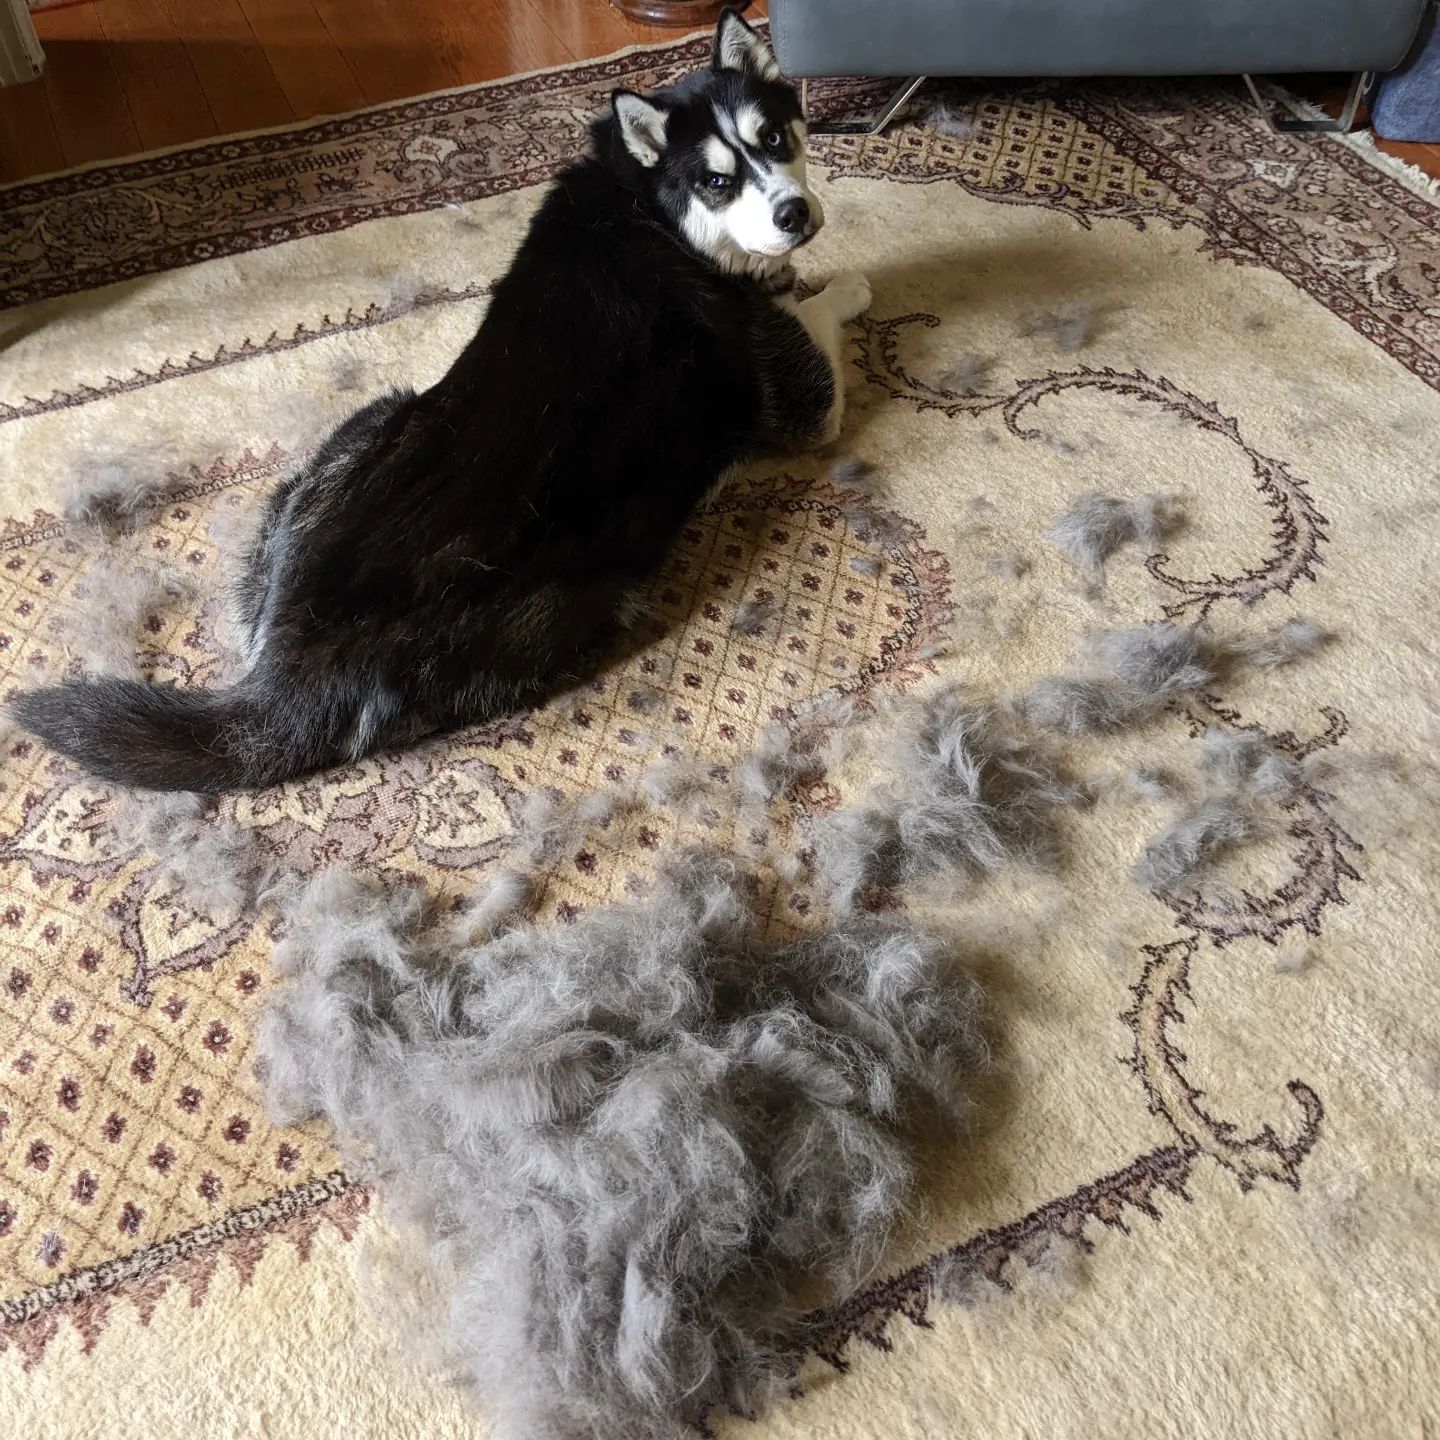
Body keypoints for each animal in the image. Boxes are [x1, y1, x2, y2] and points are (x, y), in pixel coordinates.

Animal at [11, 11, 869, 794]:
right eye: (717, 180)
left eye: (776, 137)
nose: (795, 215)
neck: (649, 206)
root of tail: (293, 664)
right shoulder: (804, 397)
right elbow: (825, 315)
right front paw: (851, 287)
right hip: (580, 601)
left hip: (356, 434)